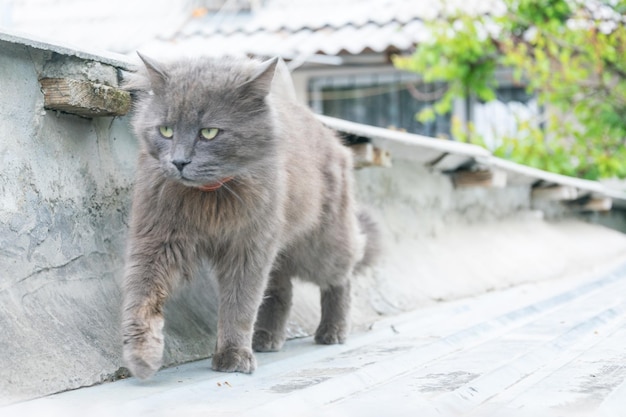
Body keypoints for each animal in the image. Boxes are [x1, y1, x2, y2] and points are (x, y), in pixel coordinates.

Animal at [120, 53, 378, 378]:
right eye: (166, 130)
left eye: (209, 132)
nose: (179, 162)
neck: (210, 197)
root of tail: (332, 138)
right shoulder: (156, 240)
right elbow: (142, 295)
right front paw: (142, 355)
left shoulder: (248, 247)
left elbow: (239, 304)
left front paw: (233, 355)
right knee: (283, 290)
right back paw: (268, 338)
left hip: (320, 247)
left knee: (341, 278)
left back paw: (332, 331)